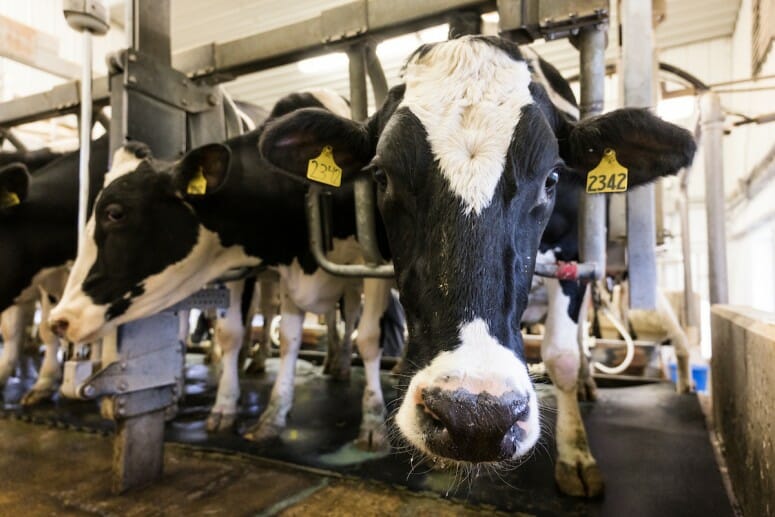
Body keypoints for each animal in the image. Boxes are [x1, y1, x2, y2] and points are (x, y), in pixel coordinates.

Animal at [48, 89, 392, 448]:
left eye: (115, 213)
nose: (59, 320)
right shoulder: (288, 268)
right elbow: (273, 337)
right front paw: (258, 413)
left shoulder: (376, 261)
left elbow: (370, 337)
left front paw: (373, 423)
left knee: (350, 316)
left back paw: (340, 365)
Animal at [256, 36, 696, 496]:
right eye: (381, 176)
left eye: (552, 178)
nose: (475, 419)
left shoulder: (574, 257)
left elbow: (561, 356)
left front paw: (576, 455)